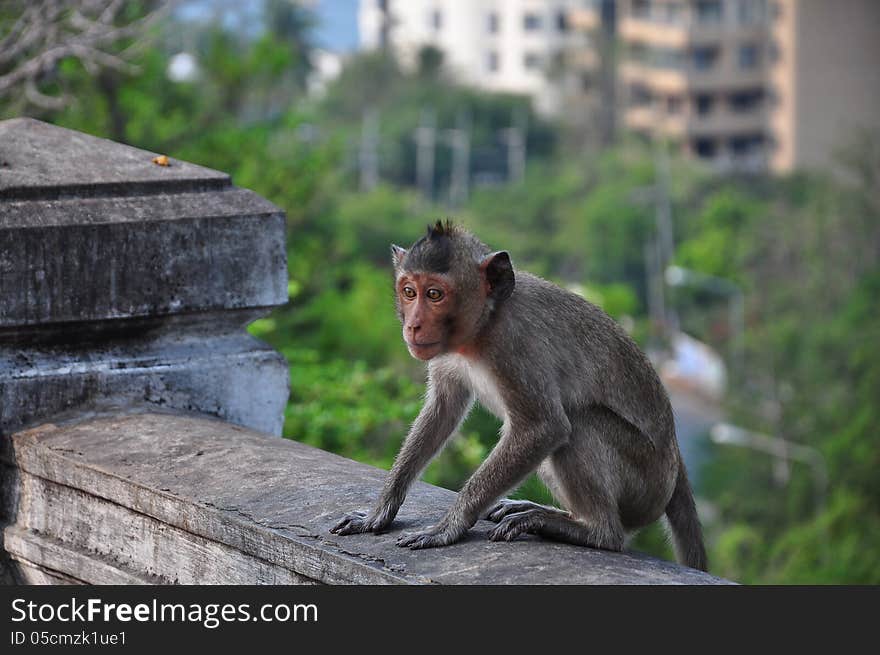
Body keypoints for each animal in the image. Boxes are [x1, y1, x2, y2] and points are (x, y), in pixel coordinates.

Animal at [330, 222, 708, 576]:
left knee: (579, 424)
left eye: (435, 294)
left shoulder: (513, 346)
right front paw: (379, 511)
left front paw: (448, 527)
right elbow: (442, 411)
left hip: (643, 482)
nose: (413, 326)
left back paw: (593, 531)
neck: (484, 324)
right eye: (409, 292)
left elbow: (544, 427)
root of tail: (674, 461)